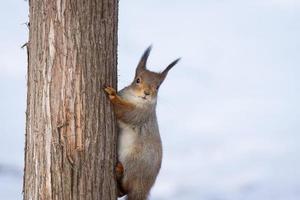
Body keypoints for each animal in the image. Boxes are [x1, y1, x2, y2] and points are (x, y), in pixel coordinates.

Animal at [104, 46, 179, 199]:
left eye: (157, 87)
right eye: (137, 80)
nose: (147, 93)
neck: (134, 98)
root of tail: (143, 189)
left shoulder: (142, 114)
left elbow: (126, 113)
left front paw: (113, 95)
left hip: (133, 161)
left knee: (127, 188)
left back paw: (119, 171)